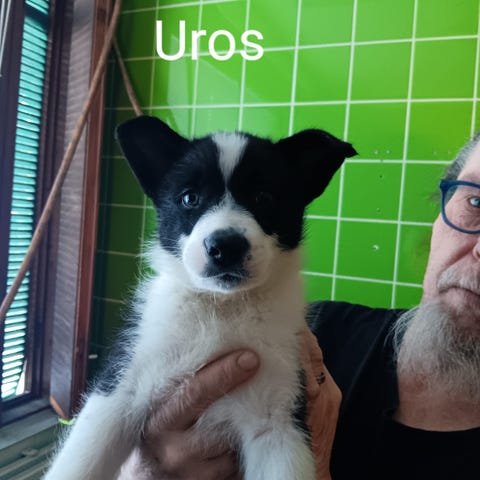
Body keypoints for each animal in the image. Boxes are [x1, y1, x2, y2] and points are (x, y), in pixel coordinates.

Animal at [44, 116, 356, 480]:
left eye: (264, 197)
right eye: (190, 198)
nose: (226, 247)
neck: (222, 306)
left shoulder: (279, 419)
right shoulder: (122, 386)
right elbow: (79, 460)